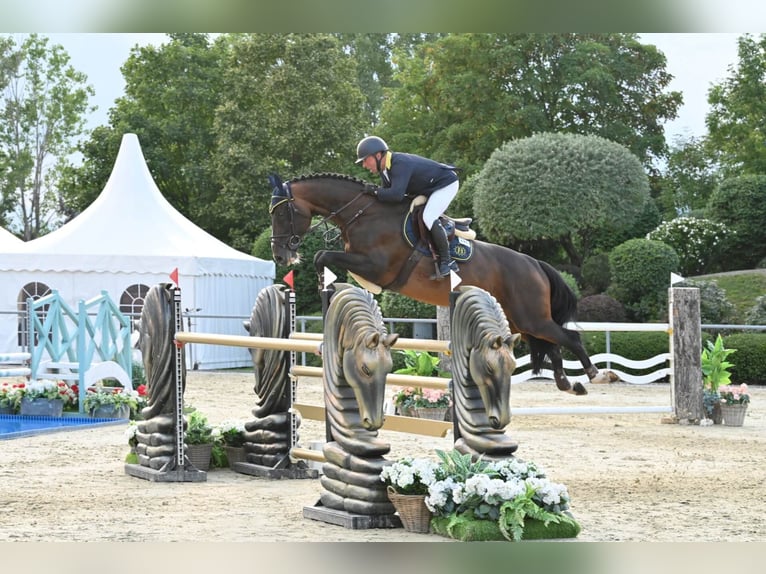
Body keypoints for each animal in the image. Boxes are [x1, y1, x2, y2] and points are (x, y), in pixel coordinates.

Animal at [270, 171, 612, 396]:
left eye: (283, 213)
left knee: (568, 338)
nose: (280, 255)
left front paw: (324, 291)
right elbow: (324, 260)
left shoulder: (377, 268)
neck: (361, 214)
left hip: (530, 316)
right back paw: (567, 383)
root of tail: (534, 263)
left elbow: (322, 256)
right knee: (551, 343)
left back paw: (595, 375)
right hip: (523, 320)